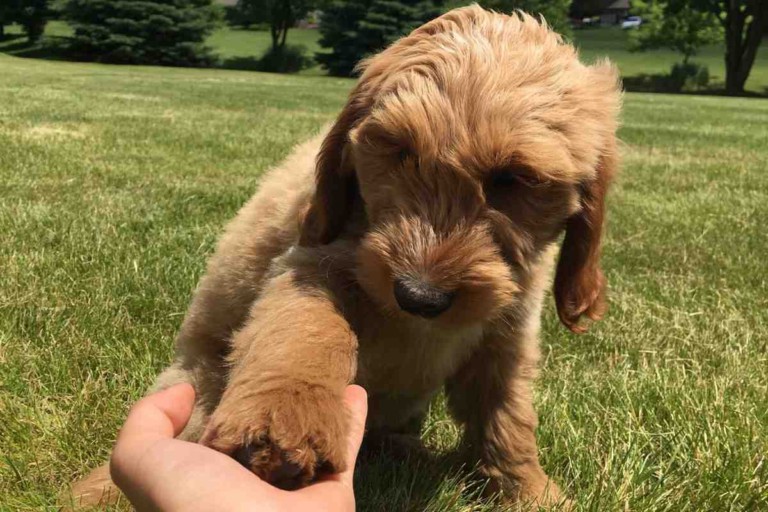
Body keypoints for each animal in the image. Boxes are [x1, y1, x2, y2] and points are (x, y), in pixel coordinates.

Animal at [72, 5, 620, 508]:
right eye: (399, 150)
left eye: (514, 180)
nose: (418, 295)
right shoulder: (312, 262)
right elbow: (307, 329)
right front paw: (283, 417)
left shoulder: (509, 328)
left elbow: (506, 413)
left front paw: (528, 491)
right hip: (200, 385)